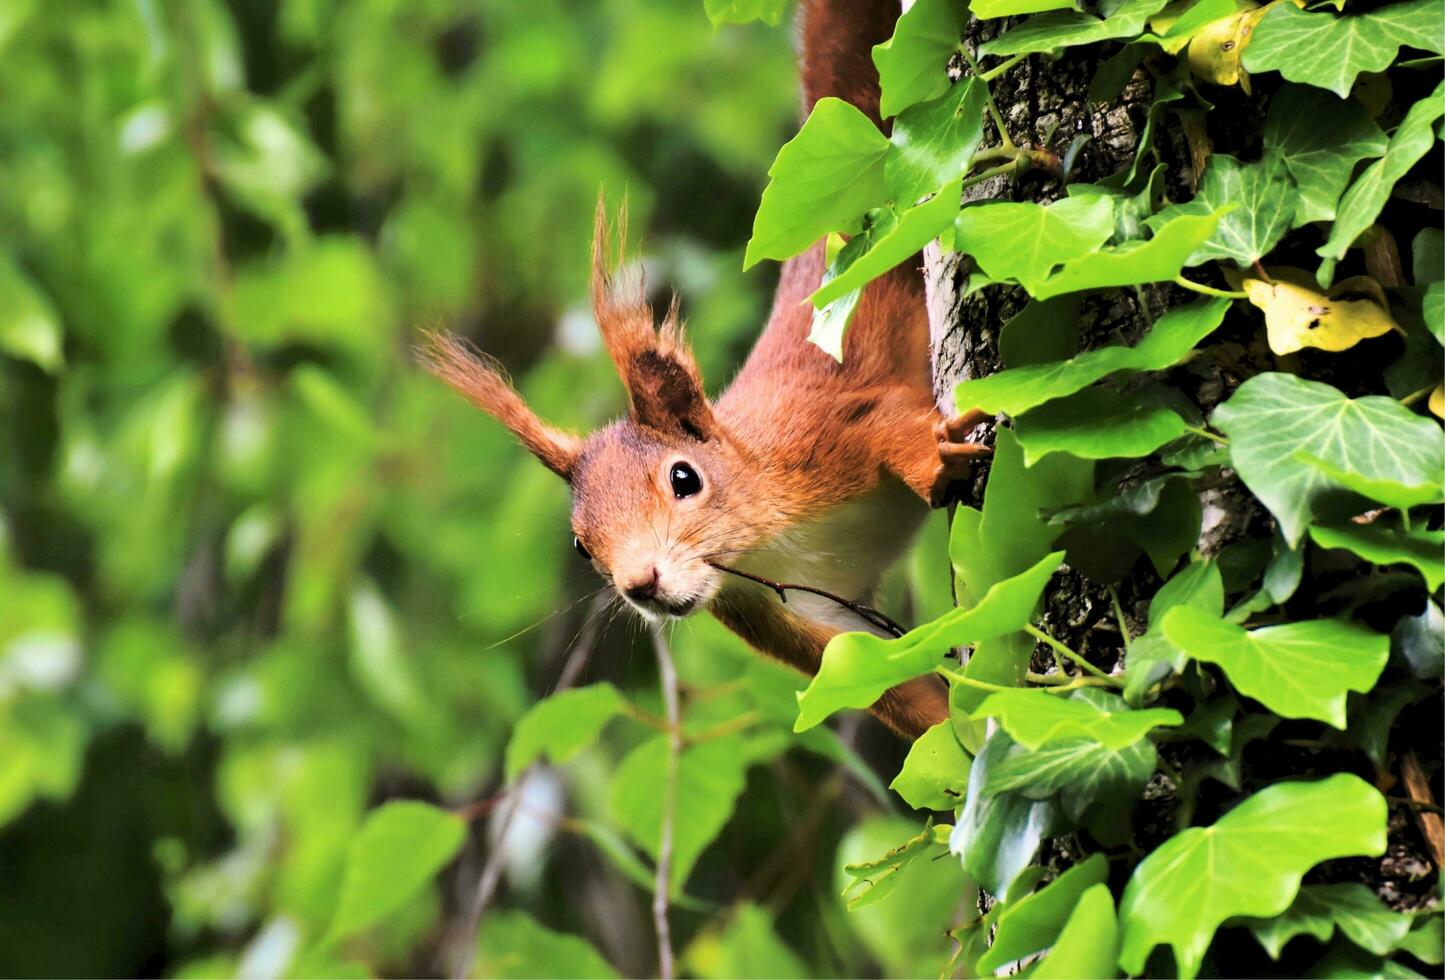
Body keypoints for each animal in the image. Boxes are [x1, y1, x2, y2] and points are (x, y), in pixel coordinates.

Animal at [421, 0, 988, 737]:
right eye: (580, 546)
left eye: (684, 479)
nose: (641, 585)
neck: (764, 544)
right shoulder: (787, 615)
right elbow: (884, 682)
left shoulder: (824, 435)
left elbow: (886, 421)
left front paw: (937, 459)